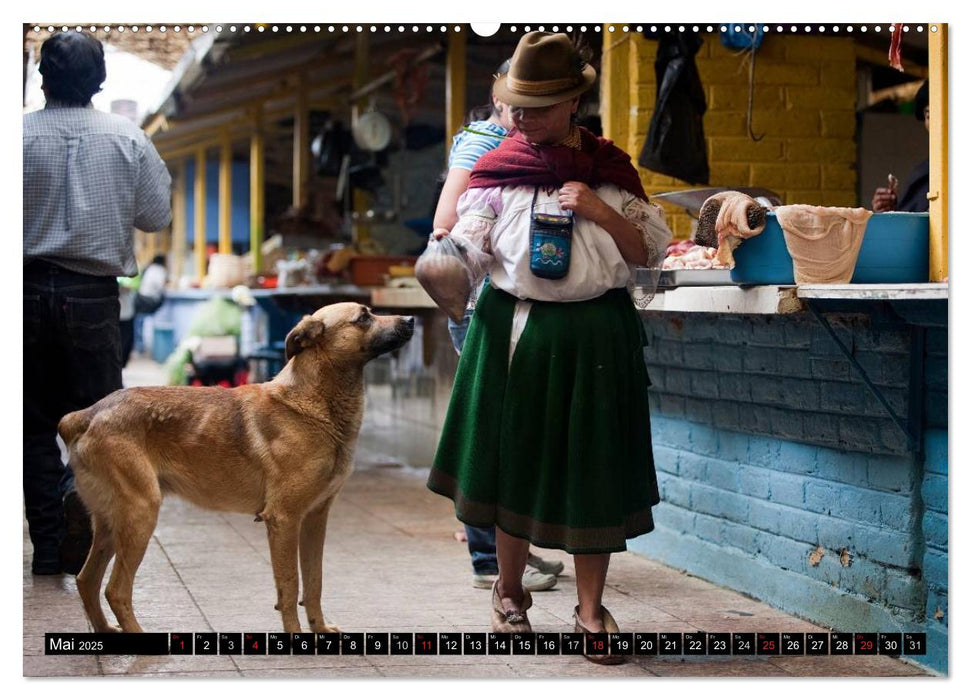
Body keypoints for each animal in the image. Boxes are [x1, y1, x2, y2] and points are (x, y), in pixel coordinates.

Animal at [56, 304, 414, 632]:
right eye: (364, 317)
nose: (411, 319)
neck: (313, 404)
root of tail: (87, 415)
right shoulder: (284, 520)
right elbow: (290, 587)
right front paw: (296, 636)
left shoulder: (315, 519)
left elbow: (314, 584)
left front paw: (319, 630)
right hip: (140, 512)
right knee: (116, 590)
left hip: (110, 524)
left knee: (87, 580)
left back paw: (105, 632)